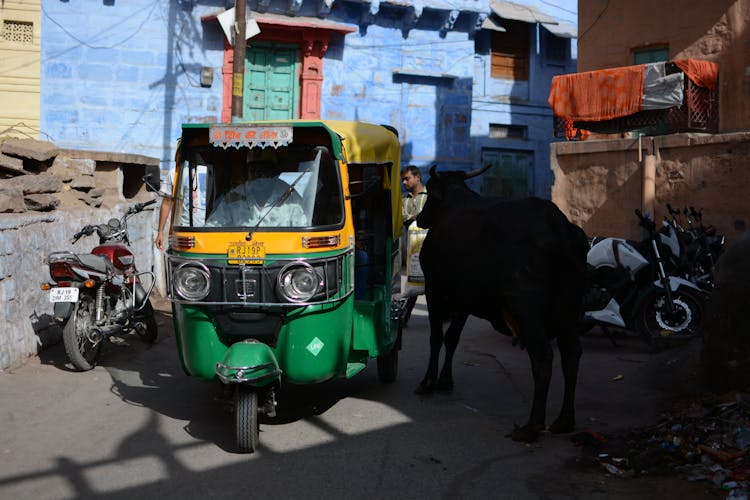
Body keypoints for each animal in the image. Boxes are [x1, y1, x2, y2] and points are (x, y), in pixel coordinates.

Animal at [414, 164, 592, 442]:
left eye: (430, 193)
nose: (420, 218)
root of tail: (559, 226)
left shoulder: (434, 290)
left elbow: (436, 338)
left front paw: (428, 382)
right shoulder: (464, 300)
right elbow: (452, 339)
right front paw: (445, 380)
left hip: (527, 309)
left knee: (543, 357)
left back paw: (531, 427)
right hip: (568, 311)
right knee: (571, 354)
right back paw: (564, 421)